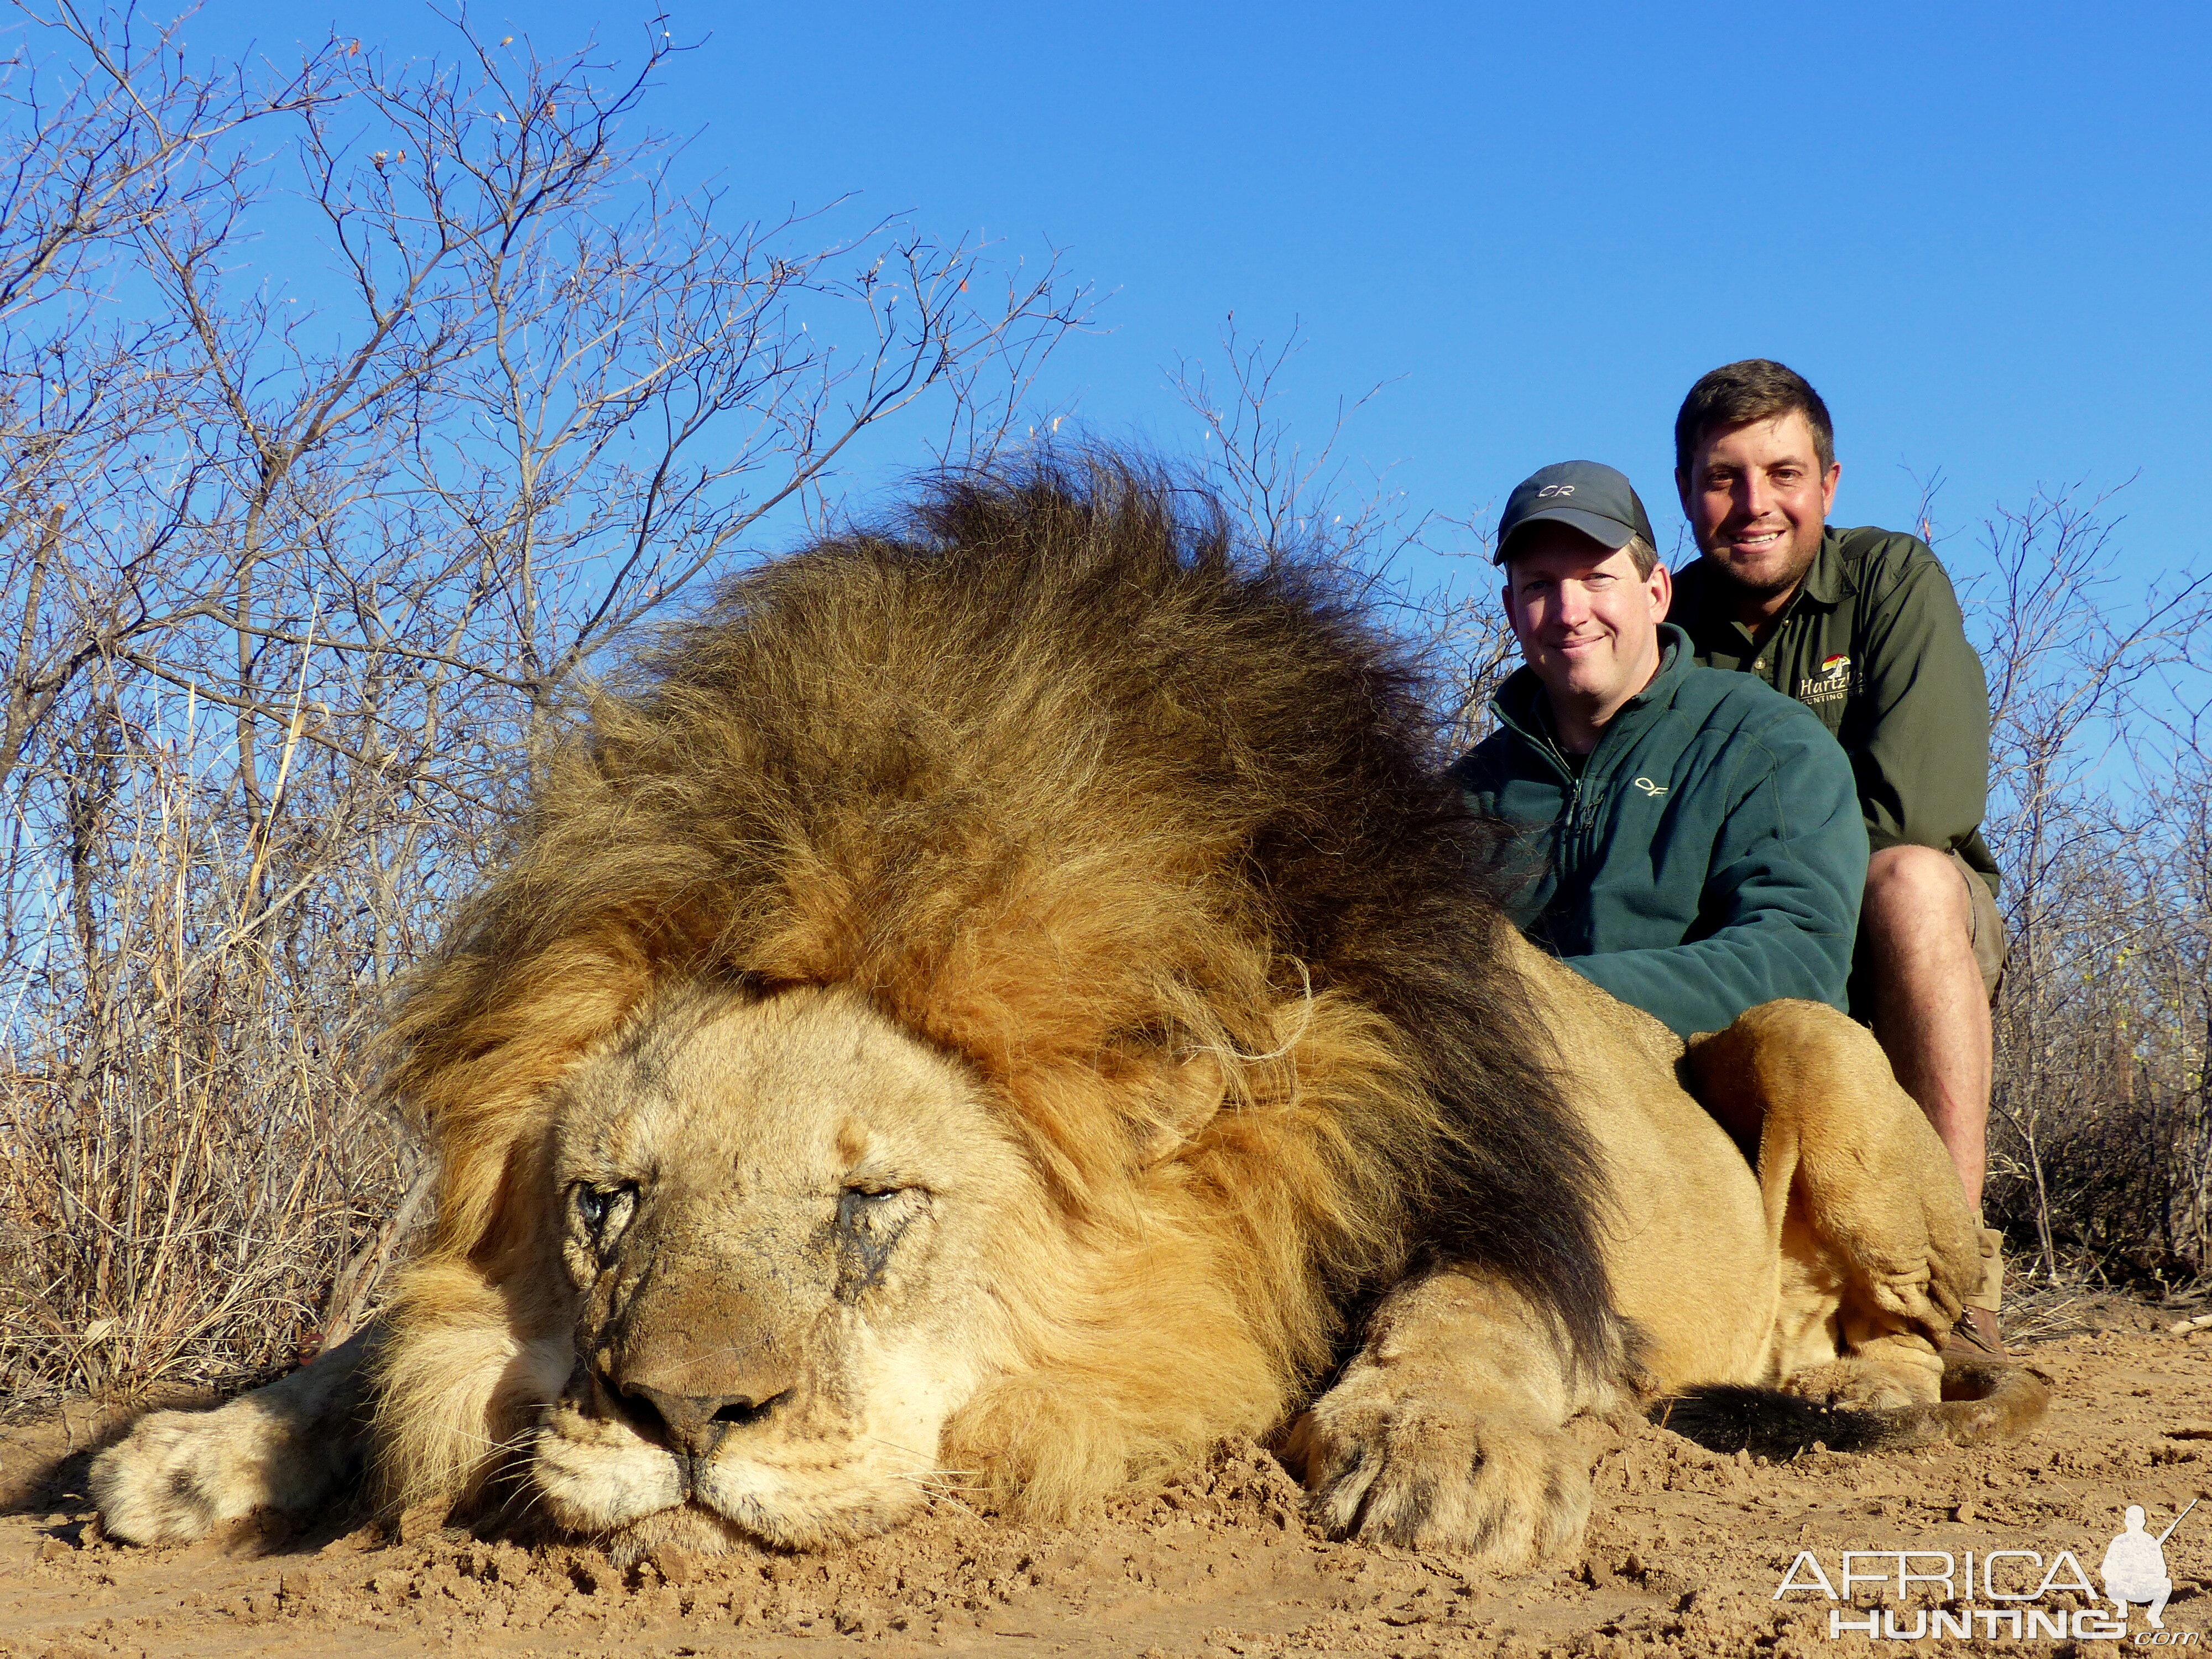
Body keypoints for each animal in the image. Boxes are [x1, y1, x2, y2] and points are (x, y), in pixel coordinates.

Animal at [91, 458, 2053, 1575]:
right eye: (606, 1205)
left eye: (874, 1207)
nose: (675, 1418)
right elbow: (374, 1341)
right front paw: (198, 1450)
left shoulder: (1495, 1199)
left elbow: (1471, 1311)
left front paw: (1454, 1464)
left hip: (1813, 1053)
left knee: (1932, 1323)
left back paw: (1844, 1392)